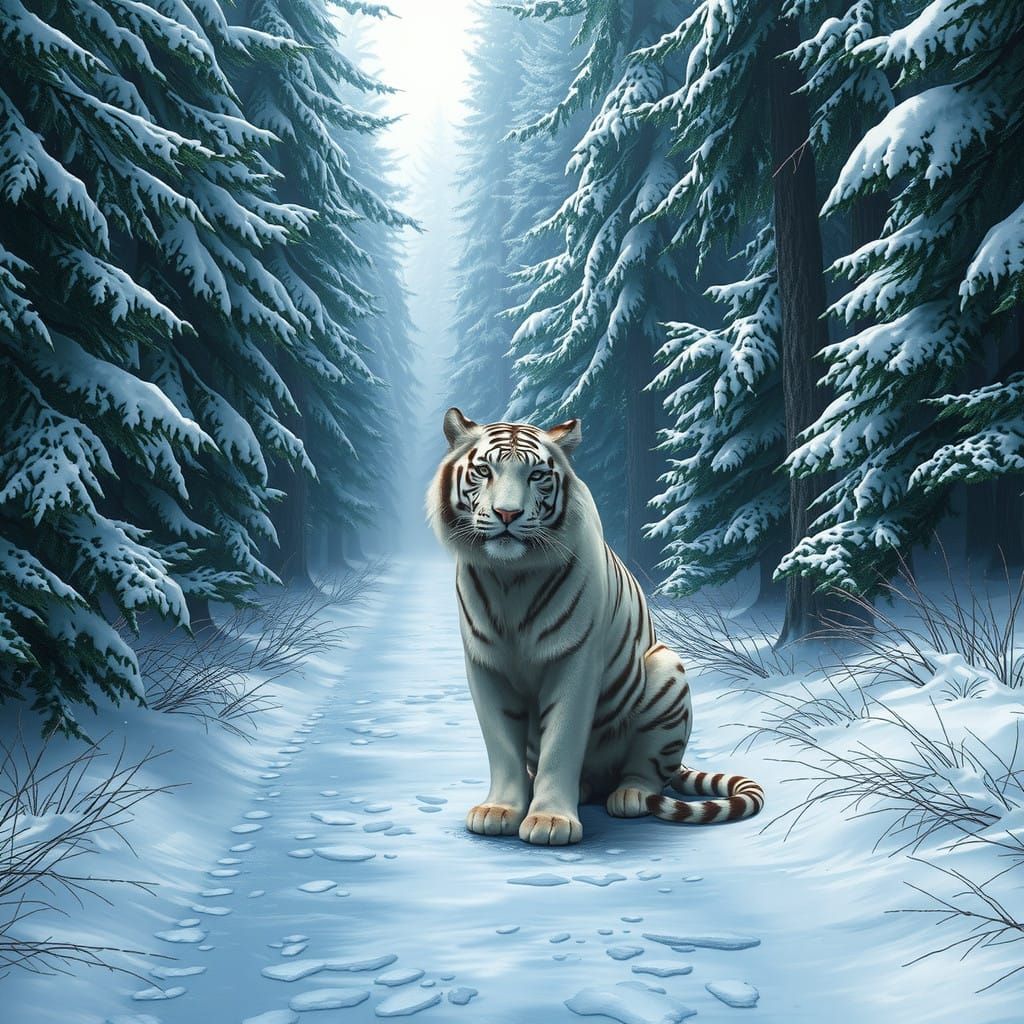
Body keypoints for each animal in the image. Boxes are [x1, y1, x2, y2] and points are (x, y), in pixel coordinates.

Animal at [426, 408, 764, 846]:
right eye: (484, 471)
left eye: (537, 475)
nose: (507, 514)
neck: (511, 577)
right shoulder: (486, 662)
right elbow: (501, 743)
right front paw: (498, 809)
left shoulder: (576, 658)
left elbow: (562, 740)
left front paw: (550, 820)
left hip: (665, 669)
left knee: (649, 770)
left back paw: (630, 795)